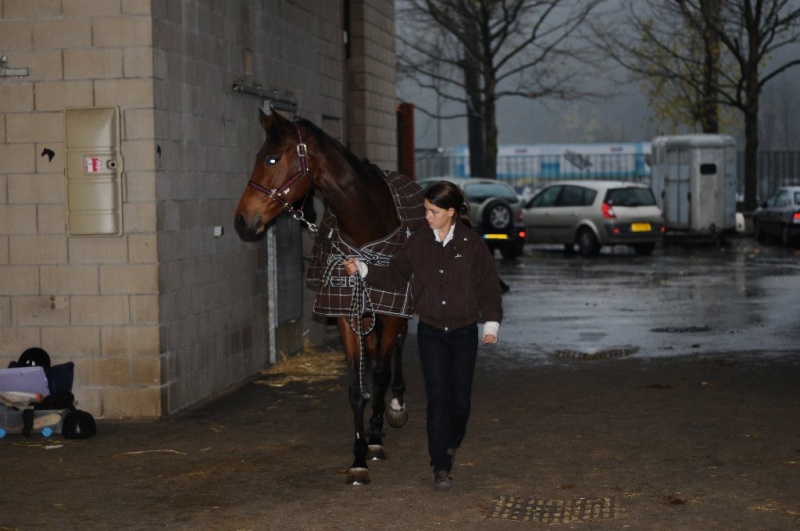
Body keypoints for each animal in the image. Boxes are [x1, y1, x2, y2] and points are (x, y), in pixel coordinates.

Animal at [231, 109, 424, 486]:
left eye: (272, 158)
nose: (242, 221)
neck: (368, 224)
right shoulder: (348, 316)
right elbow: (356, 389)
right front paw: (358, 458)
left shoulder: (390, 310)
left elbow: (380, 374)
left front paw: (376, 439)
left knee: (394, 354)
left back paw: (396, 406)